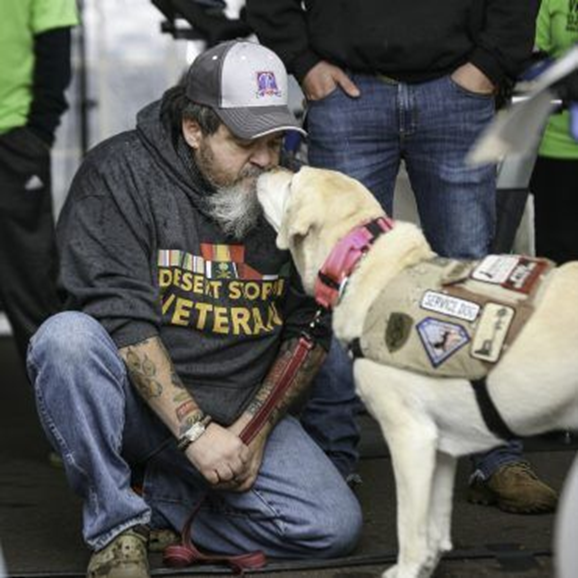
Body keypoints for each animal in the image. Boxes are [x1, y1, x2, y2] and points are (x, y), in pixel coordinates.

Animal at [256, 165, 578, 576]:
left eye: (293, 181)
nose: (267, 167)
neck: (360, 260)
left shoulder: (410, 436)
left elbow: (410, 529)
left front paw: (407, 568)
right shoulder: (440, 444)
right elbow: (434, 530)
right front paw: (425, 566)